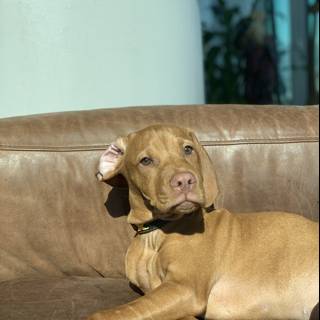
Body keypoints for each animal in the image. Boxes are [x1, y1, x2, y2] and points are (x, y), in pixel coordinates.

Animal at [87, 125, 318, 320]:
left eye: (188, 149)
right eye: (146, 161)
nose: (185, 181)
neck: (155, 232)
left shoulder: (185, 288)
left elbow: (111, 313)